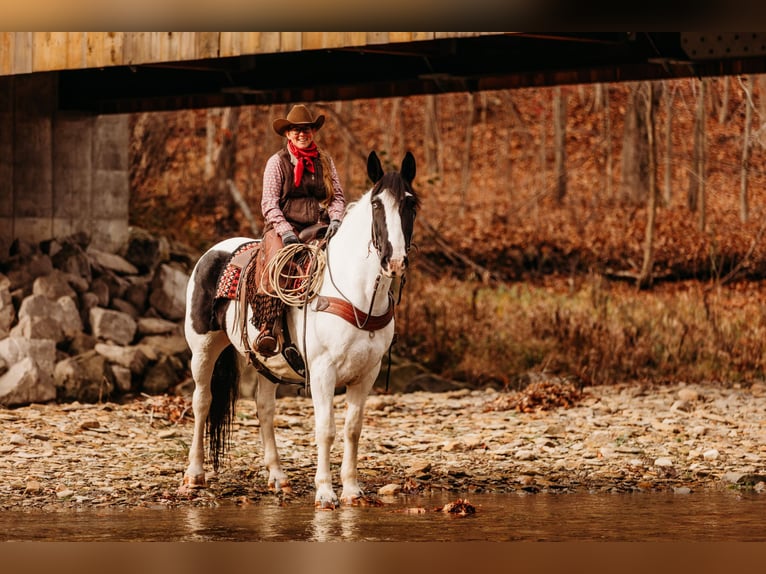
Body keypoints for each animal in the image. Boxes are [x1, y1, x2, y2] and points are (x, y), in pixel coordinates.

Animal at [180, 151, 420, 510]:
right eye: (377, 204)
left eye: (411, 203)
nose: (395, 261)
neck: (355, 293)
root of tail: (213, 253)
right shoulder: (322, 371)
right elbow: (325, 429)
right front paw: (325, 492)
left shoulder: (367, 373)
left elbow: (352, 429)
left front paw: (351, 489)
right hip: (203, 349)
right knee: (202, 401)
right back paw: (194, 475)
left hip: (266, 362)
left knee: (264, 409)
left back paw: (278, 477)